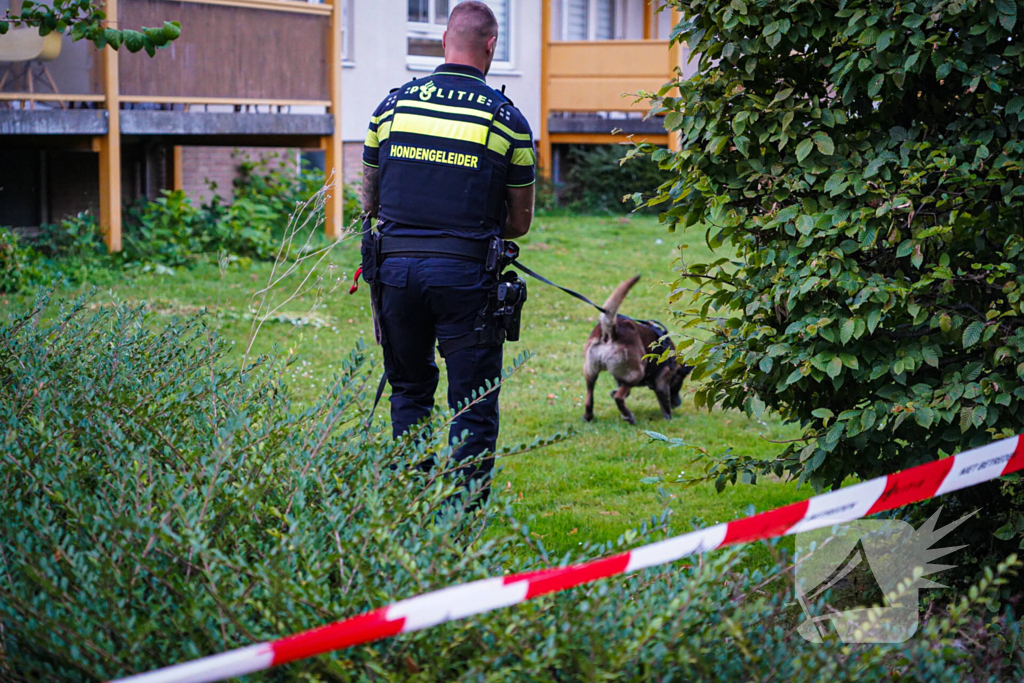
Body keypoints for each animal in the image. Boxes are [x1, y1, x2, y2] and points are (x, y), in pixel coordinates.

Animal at [581, 276, 692, 423]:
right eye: (679, 382)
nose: (678, 403)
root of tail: (611, 331)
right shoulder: (663, 382)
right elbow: (664, 403)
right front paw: (669, 418)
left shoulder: (620, 378)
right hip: (637, 372)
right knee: (619, 397)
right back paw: (629, 416)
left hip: (590, 372)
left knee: (589, 396)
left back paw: (589, 416)